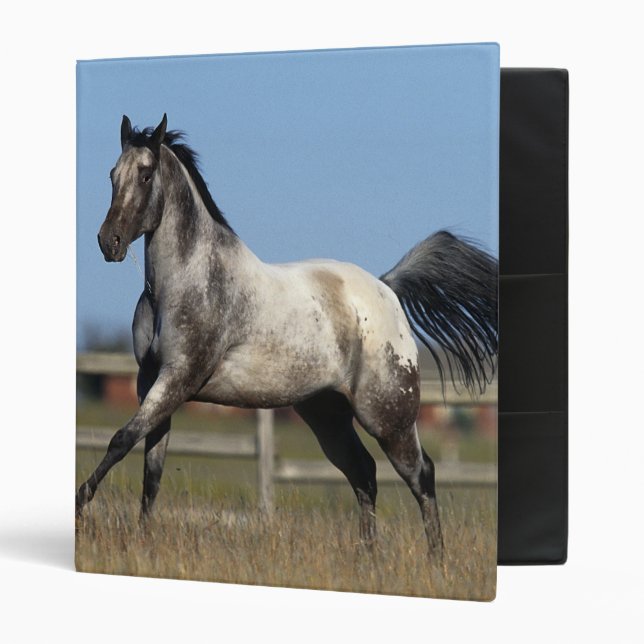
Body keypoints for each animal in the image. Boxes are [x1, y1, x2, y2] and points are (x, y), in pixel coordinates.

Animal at [76, 114, 498, 557]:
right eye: (112, 175)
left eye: (145, 175)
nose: (109, 242)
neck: (187, 283)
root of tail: (387, 288)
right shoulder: (151, 382)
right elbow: (150, 470)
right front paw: (143, 544)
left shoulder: (178, 378)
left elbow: (121, 440)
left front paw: (80, 507)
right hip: (326, 415)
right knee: (364, 474)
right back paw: (367, 558)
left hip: (388, 416)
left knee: (421, 475)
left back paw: (436, 558)